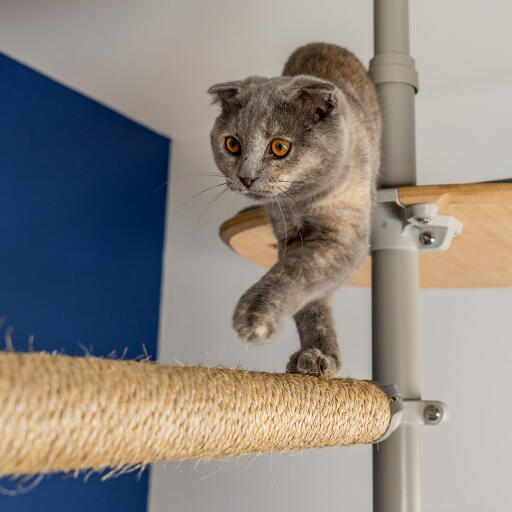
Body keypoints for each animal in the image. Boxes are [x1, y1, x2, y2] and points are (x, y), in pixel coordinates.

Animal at [207, 43, 380, 376]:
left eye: (279, 147)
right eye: (232, 144)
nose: (246, 177)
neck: (302, 201)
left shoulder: (346, 236)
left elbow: (299, 270)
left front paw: (255, 316)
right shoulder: (288, 233)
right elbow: (311, 300)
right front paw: (315, 355)